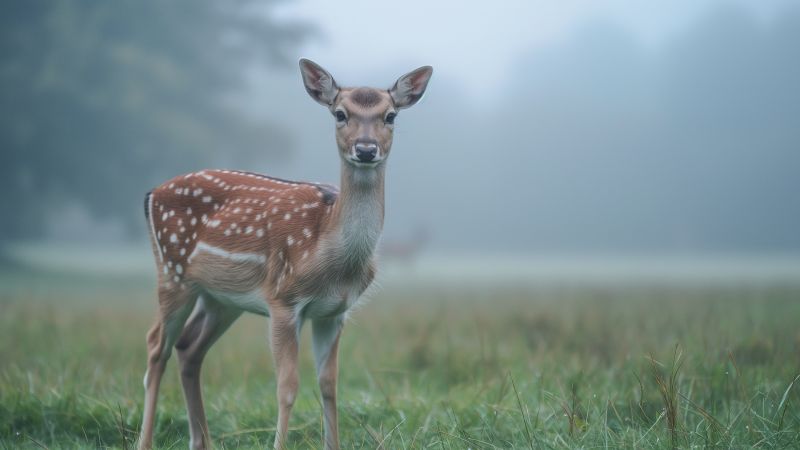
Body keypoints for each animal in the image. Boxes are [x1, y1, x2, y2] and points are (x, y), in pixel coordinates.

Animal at [137, 59, 433, 450]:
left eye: (390, 116)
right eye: (340, 113)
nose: (366, 149)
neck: (331, 255)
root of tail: (151, 193)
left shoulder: (334, 312)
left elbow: (329, 385)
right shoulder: (282, 299)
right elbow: (287, 387)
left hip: (220, 298)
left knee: (189, 348)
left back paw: (202, 441)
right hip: (172, 271)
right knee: (156, 346)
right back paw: (145, 441)